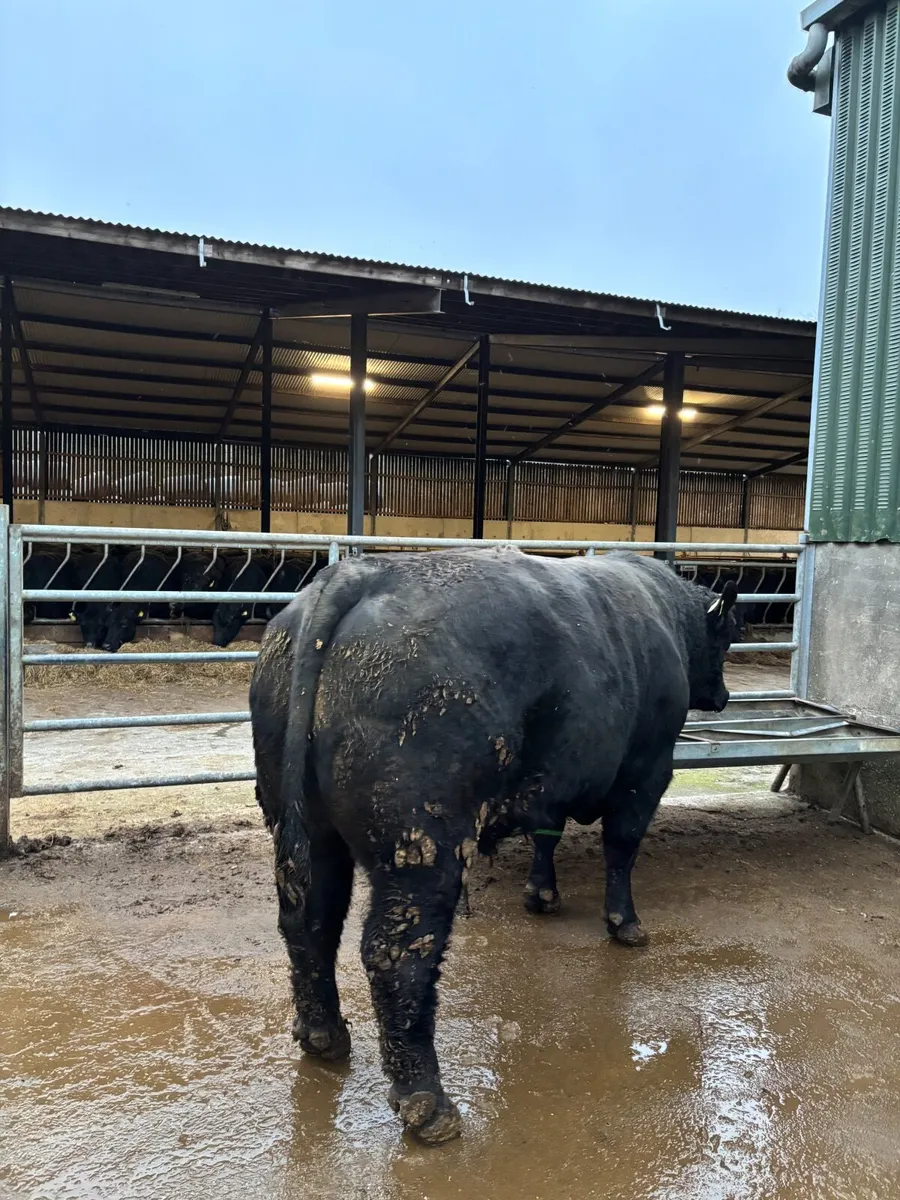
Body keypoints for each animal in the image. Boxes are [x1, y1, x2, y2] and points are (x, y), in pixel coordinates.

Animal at [249, 547, 740, 1144]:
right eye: (728, 638)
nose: (722, 695)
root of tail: (361, 573)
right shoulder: (645, 773)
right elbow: (621, 849)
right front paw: (625, 924)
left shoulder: (550, 784)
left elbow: (547, 838)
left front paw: (543, 897)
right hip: (422, 846)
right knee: (395, 952)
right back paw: (428, 1103)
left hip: (307, 829)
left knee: (310, 922)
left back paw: (324, 1036)